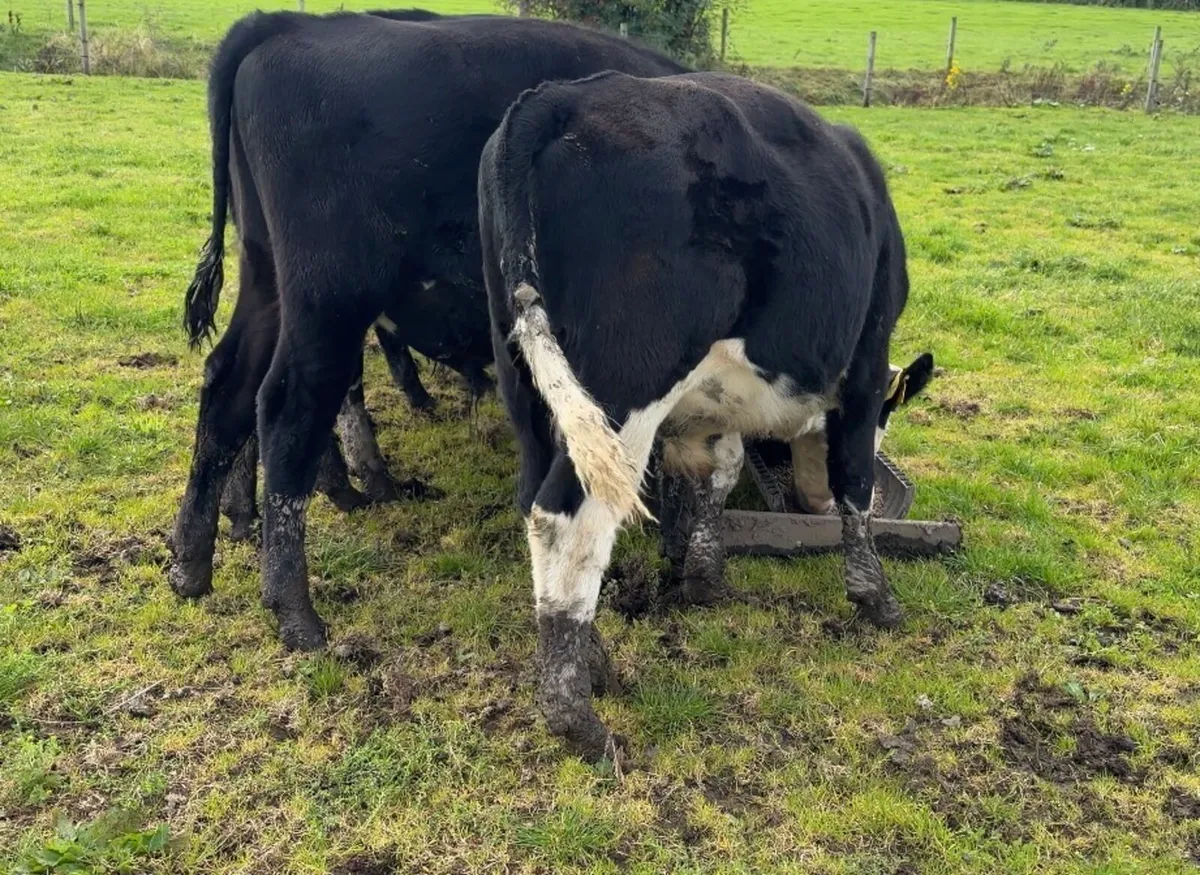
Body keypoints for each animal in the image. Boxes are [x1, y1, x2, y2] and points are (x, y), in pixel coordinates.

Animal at [166, 9, 689, 652]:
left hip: (267, 281)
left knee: (228, 387)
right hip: (327, 301)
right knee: (290, 411)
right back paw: (295, 607)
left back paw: (193, 560)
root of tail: (295, 24)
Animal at [479, 70, 920, 758]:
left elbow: (718, 470)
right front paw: (876, 598)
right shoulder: (866, 365)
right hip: (621, 390)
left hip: (526, 380)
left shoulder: (709, 407)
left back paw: (592, 663)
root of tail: (559, 97)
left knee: (532, 500)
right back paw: (576, 717)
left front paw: (704, 577)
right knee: (567, 518)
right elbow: (856, 483)